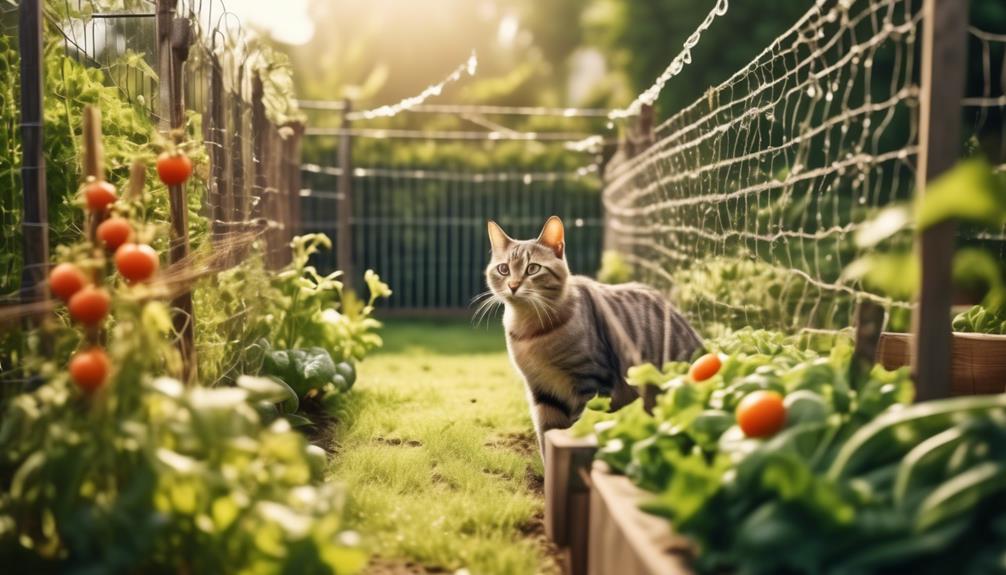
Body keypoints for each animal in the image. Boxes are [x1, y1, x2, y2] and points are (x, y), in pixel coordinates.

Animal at [482, 215, 704, 454]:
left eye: (532, 268)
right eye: (503, 269)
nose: (513, 285)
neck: (531, 329)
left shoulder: (593, 381)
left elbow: (576, 425)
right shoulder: (543, 391)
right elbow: (547, 434)